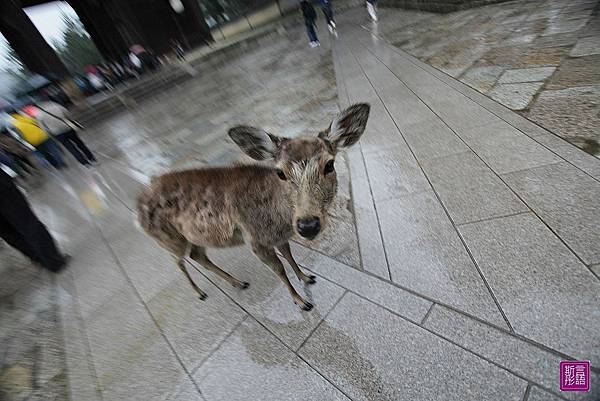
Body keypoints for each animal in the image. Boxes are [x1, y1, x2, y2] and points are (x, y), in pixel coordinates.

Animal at [137, 102, 370, 310]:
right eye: (280, 172)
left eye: (329, 164)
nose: (308, 225)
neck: (277, 218)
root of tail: (138, 208)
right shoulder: (255, 239)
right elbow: (279, 269)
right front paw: (302, 302)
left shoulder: (277, 236)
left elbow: (289, 256)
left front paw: (306, 277)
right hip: (169, 239)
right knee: (178, 261)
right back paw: (199, 292)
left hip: (193, 236)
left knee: (197, 255)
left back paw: (237, 282)